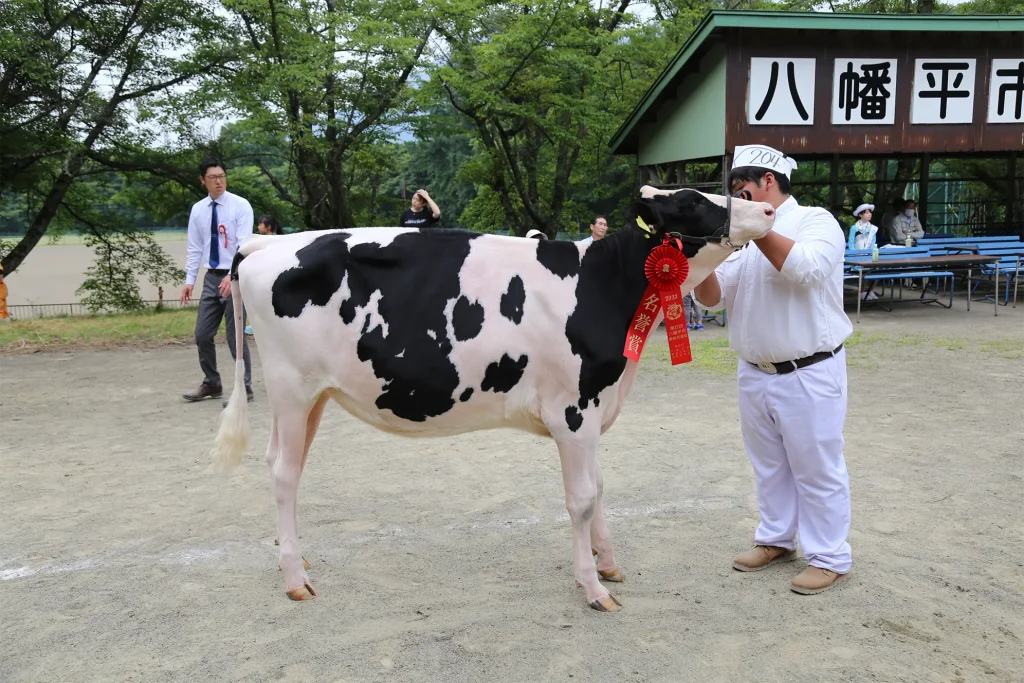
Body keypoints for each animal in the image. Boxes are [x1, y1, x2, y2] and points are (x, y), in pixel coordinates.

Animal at [209, 188, 774, 614]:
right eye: (694, 202)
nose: (768, 210)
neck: (599, 285)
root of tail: (266, 245)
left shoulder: (594, 410)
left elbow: (600, 488)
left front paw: (609, 564)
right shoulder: (573, 412)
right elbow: (581, 499)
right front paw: (592, 587)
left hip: (314, 397)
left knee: (284, 463)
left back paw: (296, 561)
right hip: (291, 387)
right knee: (284, 473)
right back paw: (294, 580)